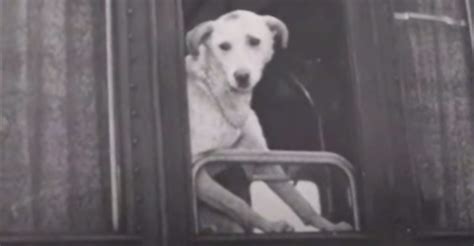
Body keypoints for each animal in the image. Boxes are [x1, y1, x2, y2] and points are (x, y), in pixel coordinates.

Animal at [185, 9, 352, 233]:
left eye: (254, 41)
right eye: (224, 46)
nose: (241, 76)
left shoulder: (259, 159)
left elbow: (297, 199)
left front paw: (328, 225)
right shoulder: (196, 170)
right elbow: (235, 202)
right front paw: (270, 226)